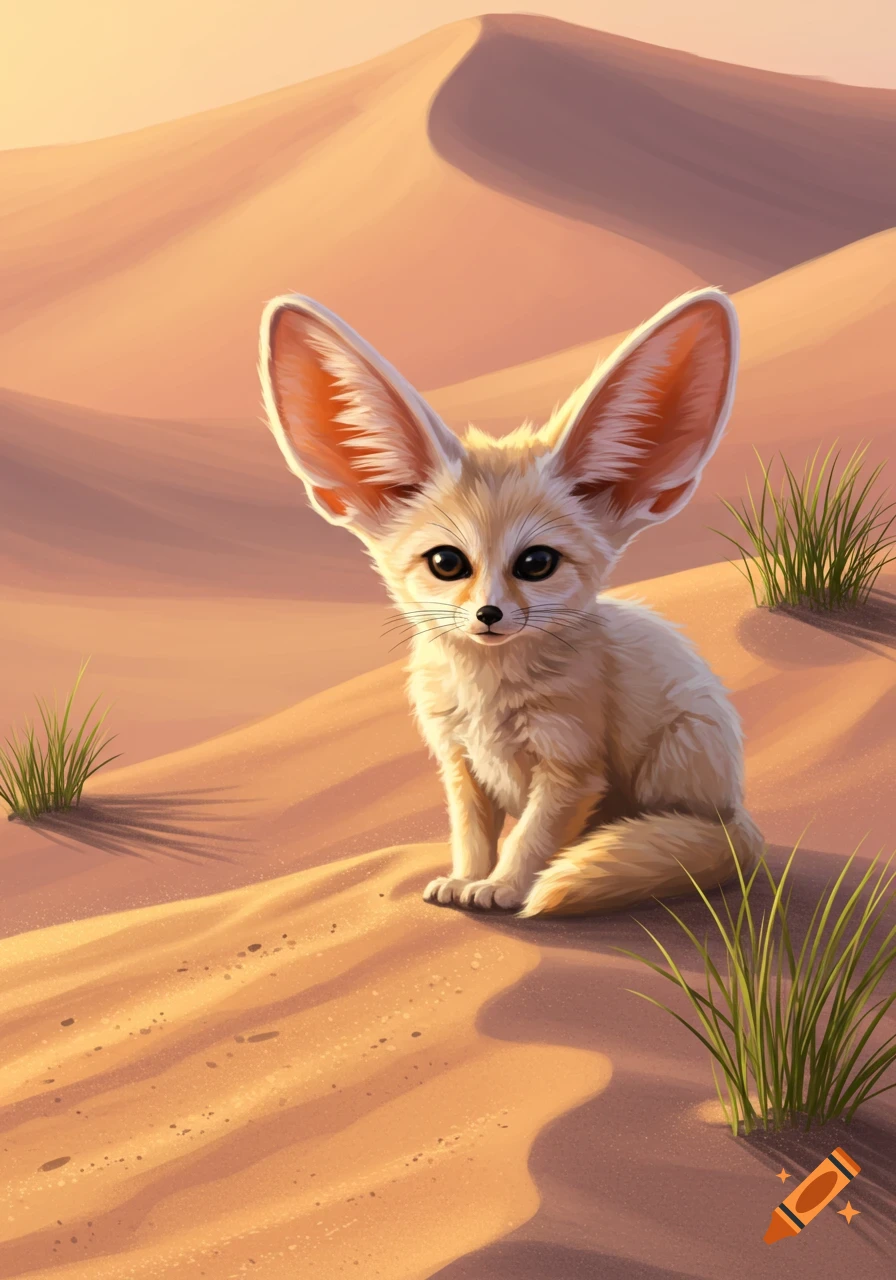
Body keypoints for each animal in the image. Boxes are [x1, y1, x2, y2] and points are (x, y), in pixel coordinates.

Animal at [257, 287, 763, 916]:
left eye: (537, 563)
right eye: (447, 563)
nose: (489, 615)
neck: (486, 695)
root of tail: (738, 817)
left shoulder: (572, 768)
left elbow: (532, 839)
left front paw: (502, 888)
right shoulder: (459, 763)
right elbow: (472, 834)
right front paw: (464, 879)